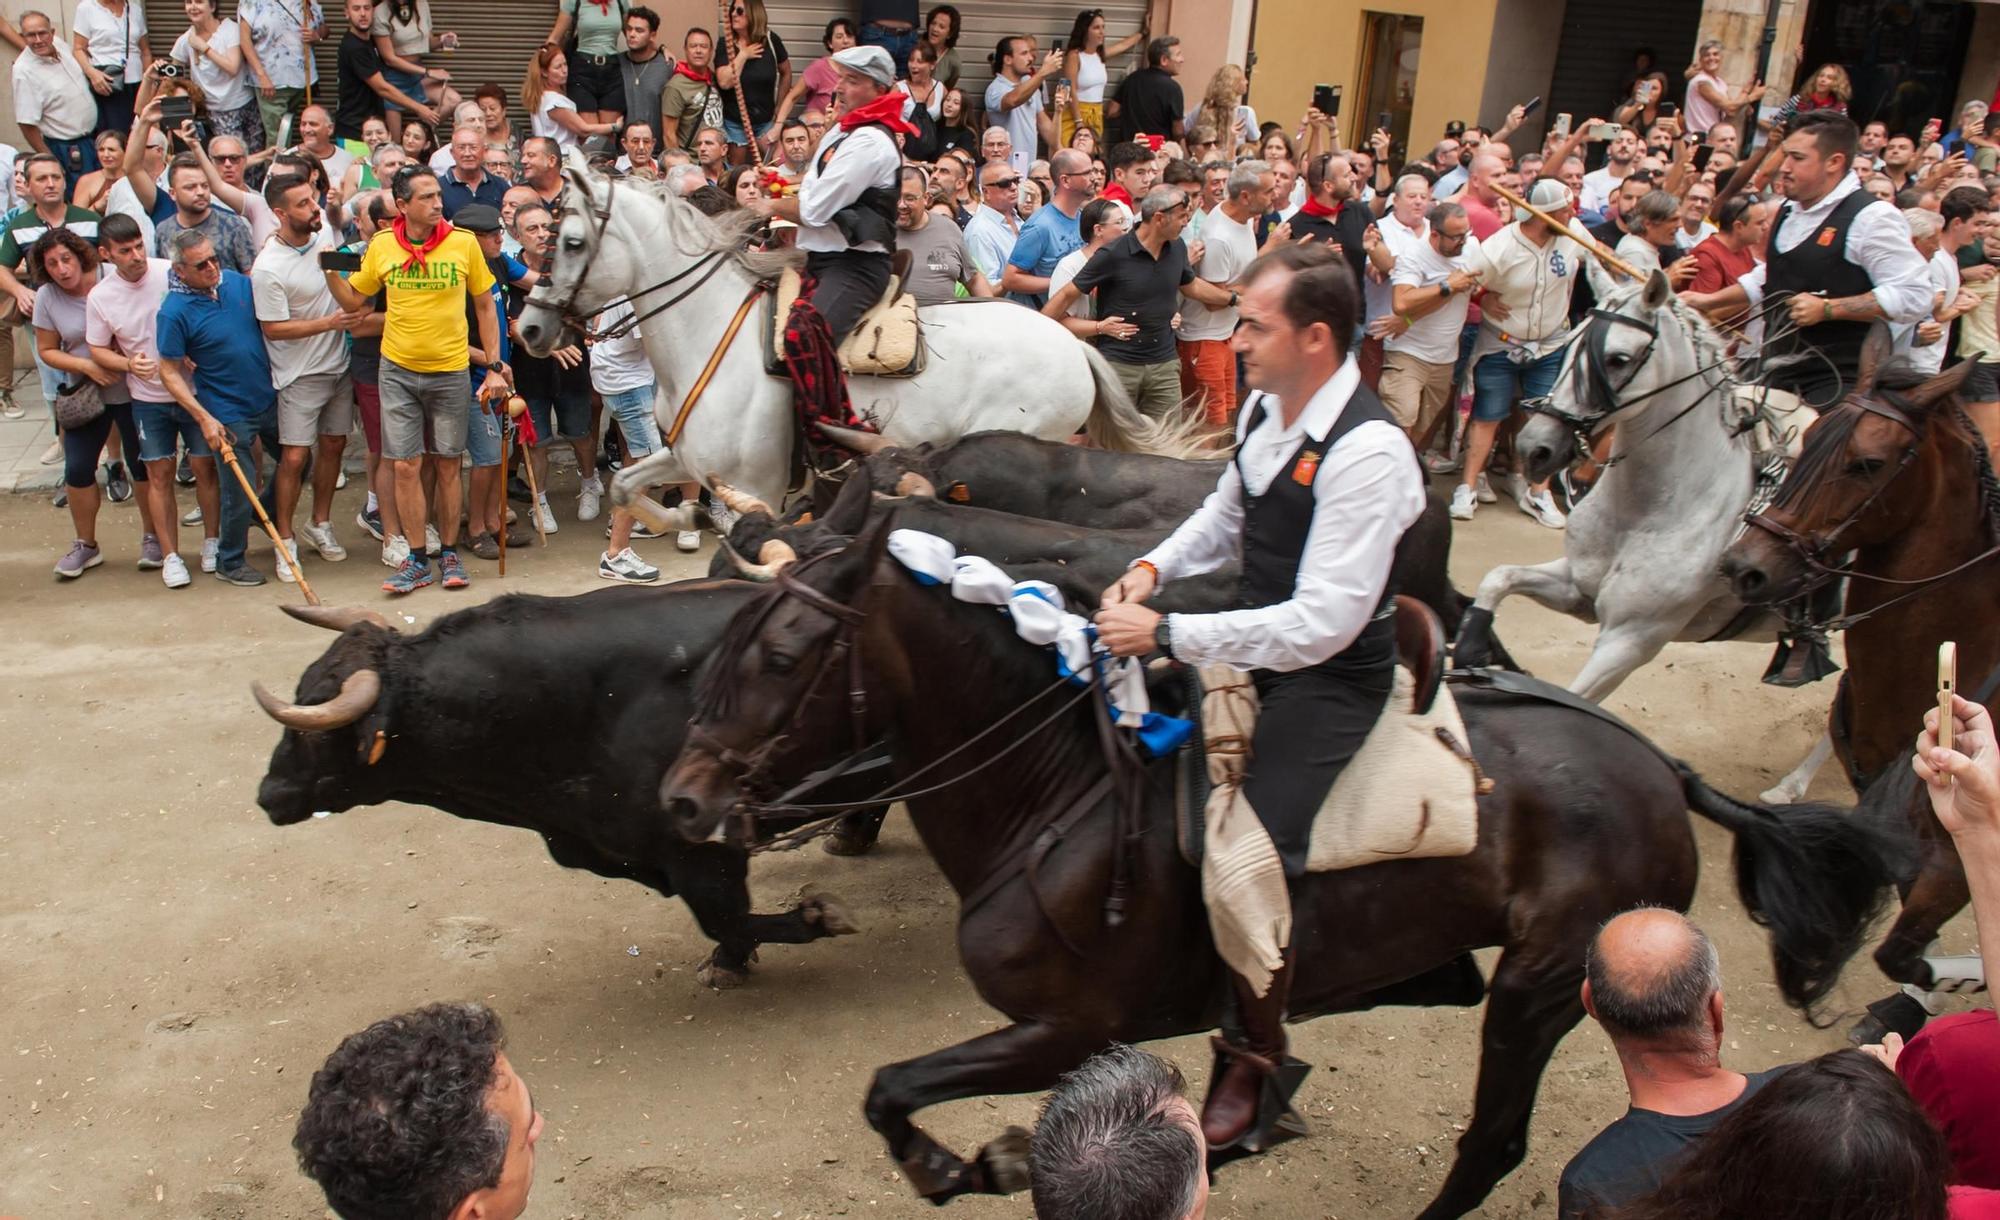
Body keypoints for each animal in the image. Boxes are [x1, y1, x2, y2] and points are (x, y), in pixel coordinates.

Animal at [512, 152, 1168, 516]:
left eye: (573, 242)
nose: (530, 327)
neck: (707, 333)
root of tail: (1074, 344)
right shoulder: (687, 459)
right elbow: (625, 486)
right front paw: (679, 521)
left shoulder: (755, 486)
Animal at [660, 516, 1904, 1216]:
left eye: (783, 655)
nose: (682, 799)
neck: (1057, 789)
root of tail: (1657, 764)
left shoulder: (1065, 1025)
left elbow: (893, 1085)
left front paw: (964, 1164)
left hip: (1542, 984)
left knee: (1489, 1140)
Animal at [1456, 270, 1832, 792]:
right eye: (1570, 346)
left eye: (1617, 358)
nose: (1535, 448)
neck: (1653, 505)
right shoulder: (1576, 587)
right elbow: (1498, 577)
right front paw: (1473, 647)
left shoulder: (1630, 639)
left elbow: (1574, 700)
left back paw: (1791, 787)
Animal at [1720, 328, 2000, 1032]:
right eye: (1811, 438)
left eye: (1868, 464)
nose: (1744, 567)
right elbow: (1904, 945)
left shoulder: (1961, 845)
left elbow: (1904, 949)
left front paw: (1957, 982)